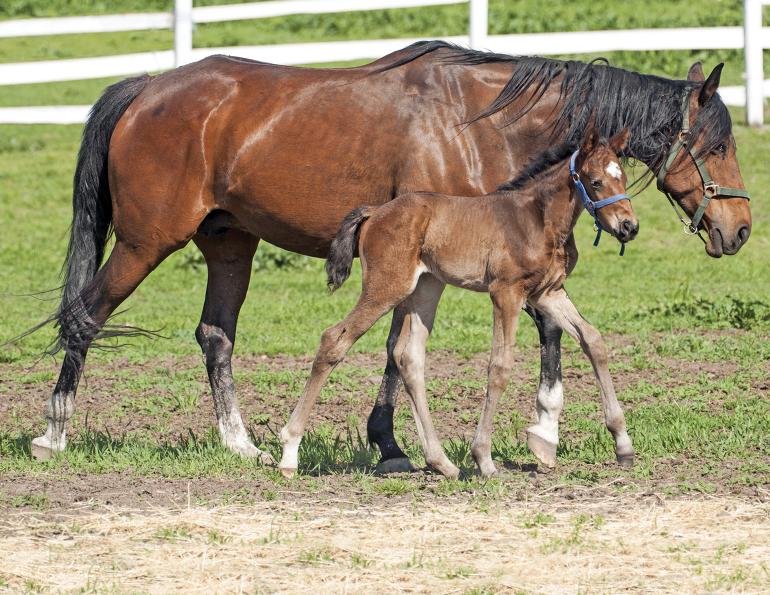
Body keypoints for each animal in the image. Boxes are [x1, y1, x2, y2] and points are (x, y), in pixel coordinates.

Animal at [277, 128, 635, 478]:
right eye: (595, 181)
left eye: (624, 178)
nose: (629, 227)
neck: (536, 218)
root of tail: (375, 211)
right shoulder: (506, 292)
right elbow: (500, 365)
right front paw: (484, 459)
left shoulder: (548, 292)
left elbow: (593, 341)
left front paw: (623, 443)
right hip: (387, 287)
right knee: (334, 339)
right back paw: (289, 452)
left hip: (426, 288)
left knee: (408, 357)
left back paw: (442, 463)